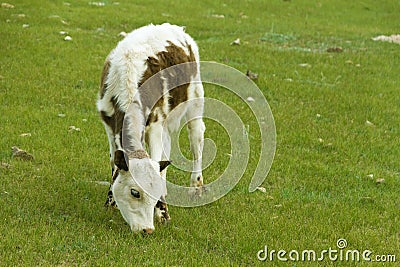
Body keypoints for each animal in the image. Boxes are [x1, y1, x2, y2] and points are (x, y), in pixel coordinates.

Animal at [95, 24, 205, 233]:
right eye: (134, 192)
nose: (147, 230)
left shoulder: (155, 124)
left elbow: (157, 164)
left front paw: (163, 213)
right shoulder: (108, 125)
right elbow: (115, 163)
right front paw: (110, 203)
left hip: (195, 97)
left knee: (197, 139)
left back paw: (196, 187)